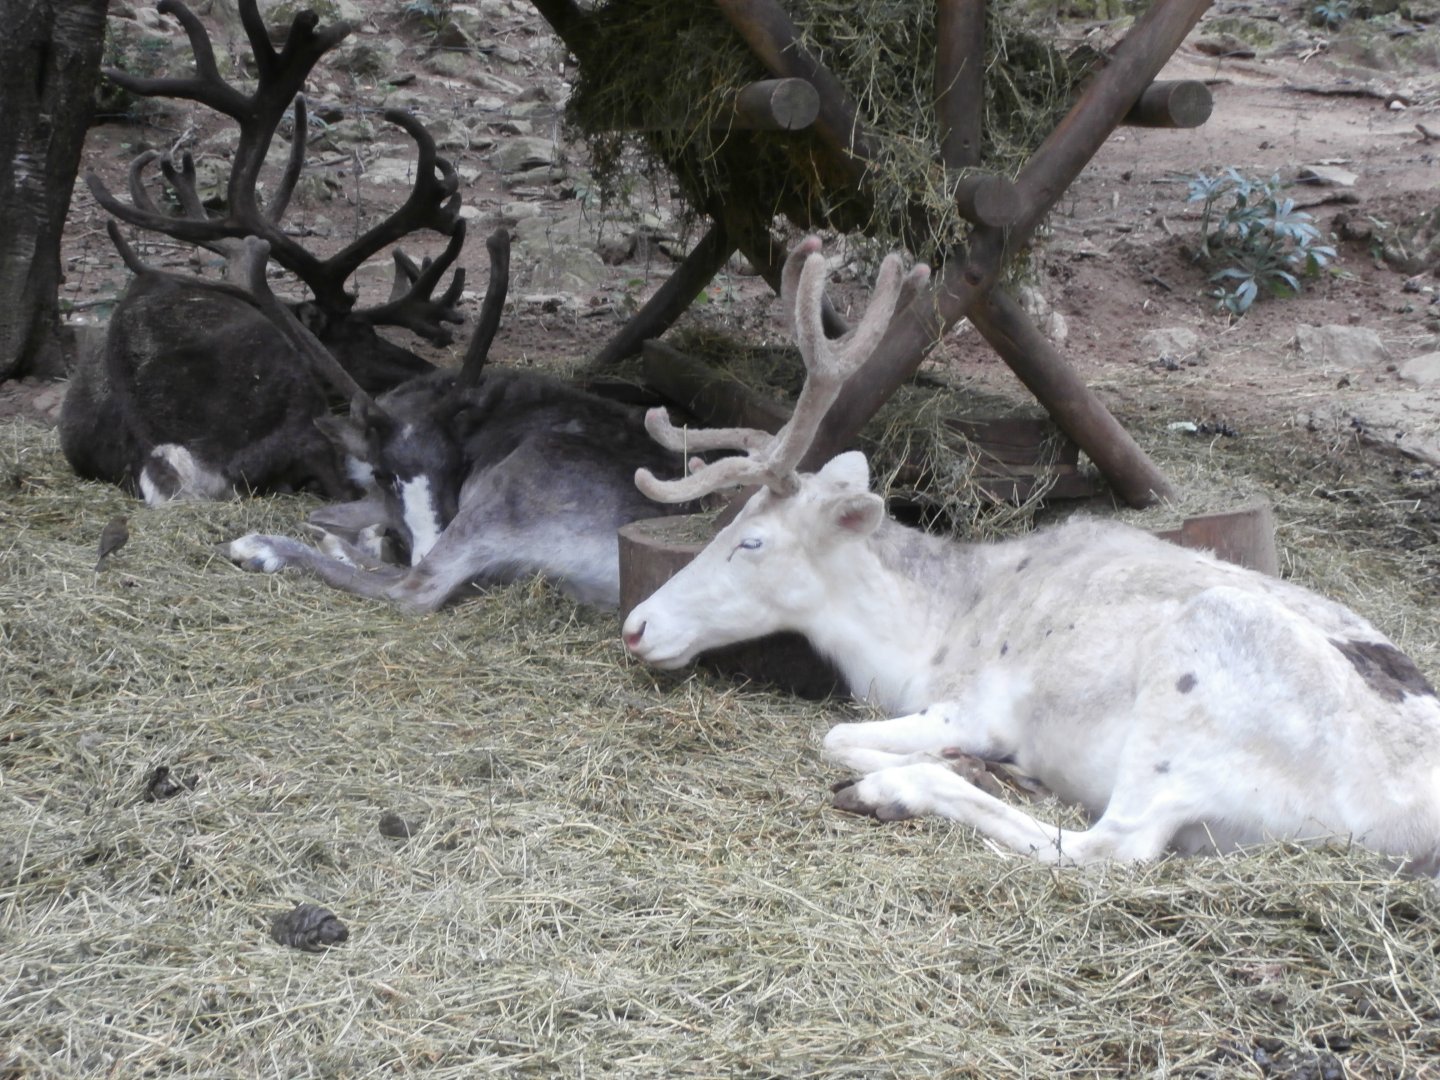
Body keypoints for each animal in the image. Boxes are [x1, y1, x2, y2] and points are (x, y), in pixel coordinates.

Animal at [622, 235, 1440, 874]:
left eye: (751, 540)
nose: (636, 626)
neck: (918, 639)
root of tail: (1413, 826)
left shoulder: (971, 706)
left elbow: (836, 735)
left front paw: (929, 766)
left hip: (1192, 697)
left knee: (1108, 848)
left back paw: (904, 790)